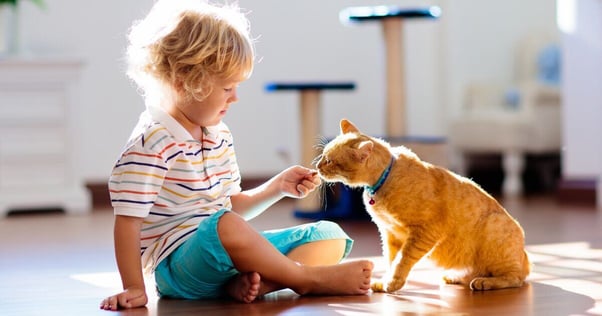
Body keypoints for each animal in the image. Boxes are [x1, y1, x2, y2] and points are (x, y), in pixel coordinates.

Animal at [316, 118, 528, 292]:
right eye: (323, 156)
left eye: (329, 160)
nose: (317, 167)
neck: (381, 183)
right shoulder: (390, 234)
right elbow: (391, 260)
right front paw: (385, 282)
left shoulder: (423, 231)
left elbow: (402, 260)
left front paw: (392, 283)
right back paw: (456, 276)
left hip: (496, 231)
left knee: (515, 278)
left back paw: (484, 282)